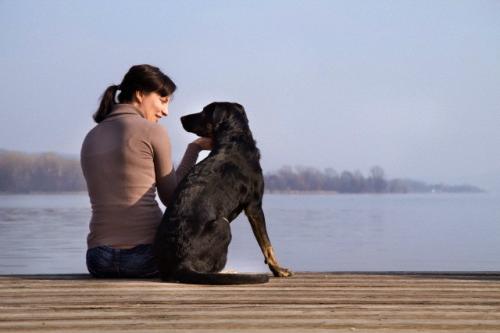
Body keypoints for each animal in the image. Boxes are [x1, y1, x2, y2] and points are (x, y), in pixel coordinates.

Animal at [154, 101, 292, 282]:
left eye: (204, 112)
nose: (181, 118)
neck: (234, 138)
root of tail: (180, 264)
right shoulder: (254, 206)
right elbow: (267, 245)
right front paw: (278, 270)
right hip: (223, 224)